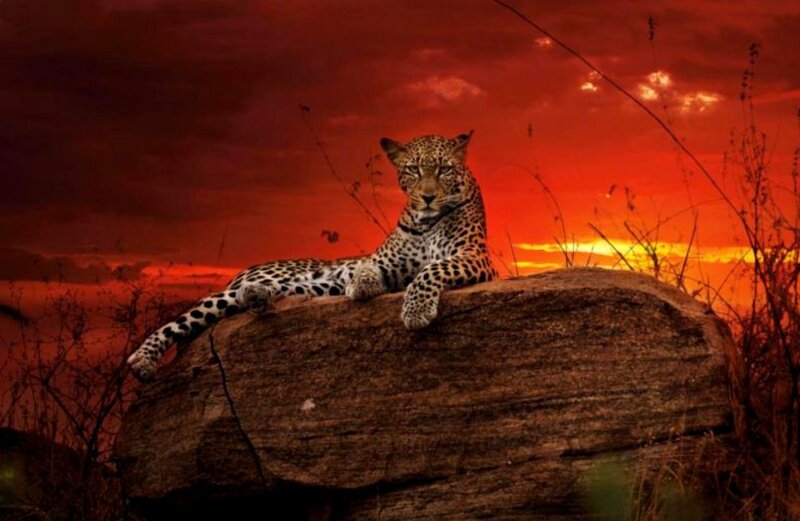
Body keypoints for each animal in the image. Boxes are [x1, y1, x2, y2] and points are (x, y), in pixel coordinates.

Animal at [127, 131, 499, 382]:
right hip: (248, 285)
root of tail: (247, 271)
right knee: (183, 319)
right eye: (413, 170)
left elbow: (430, 270)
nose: (428, 197)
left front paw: (415, 309)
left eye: (444, 169)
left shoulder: (472, 257)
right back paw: (142, 360)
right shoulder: (381, 260)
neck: (425, 221)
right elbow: (367, 267)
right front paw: (363, 285)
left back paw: (257, 298)